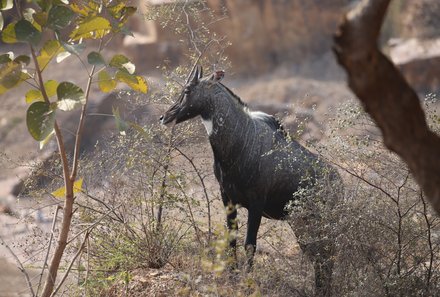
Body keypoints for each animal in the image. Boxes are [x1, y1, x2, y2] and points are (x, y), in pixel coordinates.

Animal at [160, 66, 342, 296]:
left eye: (187, 90)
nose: (164, 117)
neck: (242, 139)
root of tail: (339, 183)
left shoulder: (256, 203)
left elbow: (250, 244)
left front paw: (247, 282)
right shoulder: (227, 198)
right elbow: (231, 239)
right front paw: (232, 275)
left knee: (325, 253)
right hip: (302, 222)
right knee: (319, 253)